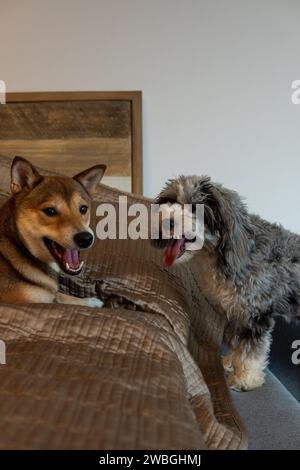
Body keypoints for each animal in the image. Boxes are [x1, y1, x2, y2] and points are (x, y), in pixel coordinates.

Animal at [0, 156, 105, 306]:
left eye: (83, 209)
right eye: (50, 211)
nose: (85, 238)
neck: (16, 248)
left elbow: (59, 295)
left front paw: (89, 301)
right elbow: (57, 298)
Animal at [154, 174, 298, 392]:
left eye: (196, 208)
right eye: (169, 201)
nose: (166, 221)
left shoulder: (256, 314)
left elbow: (250, 351)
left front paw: (244, 379)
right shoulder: (236, 312)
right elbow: (236, 343)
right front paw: (230, 363)